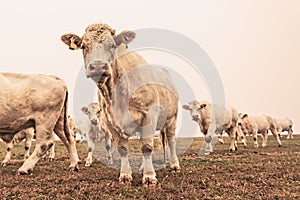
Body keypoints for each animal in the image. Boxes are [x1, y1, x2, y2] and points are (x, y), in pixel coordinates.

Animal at [59, 22, 179, 185]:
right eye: (84, 46)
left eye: (112, 45)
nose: (98, 66)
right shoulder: (111, 121)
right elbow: (123, 148)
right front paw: (125, 174)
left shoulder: (149, 115)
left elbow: (147, 147)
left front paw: (149, 176)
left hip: (171, 119)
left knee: (171, 141)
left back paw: (174, 165)